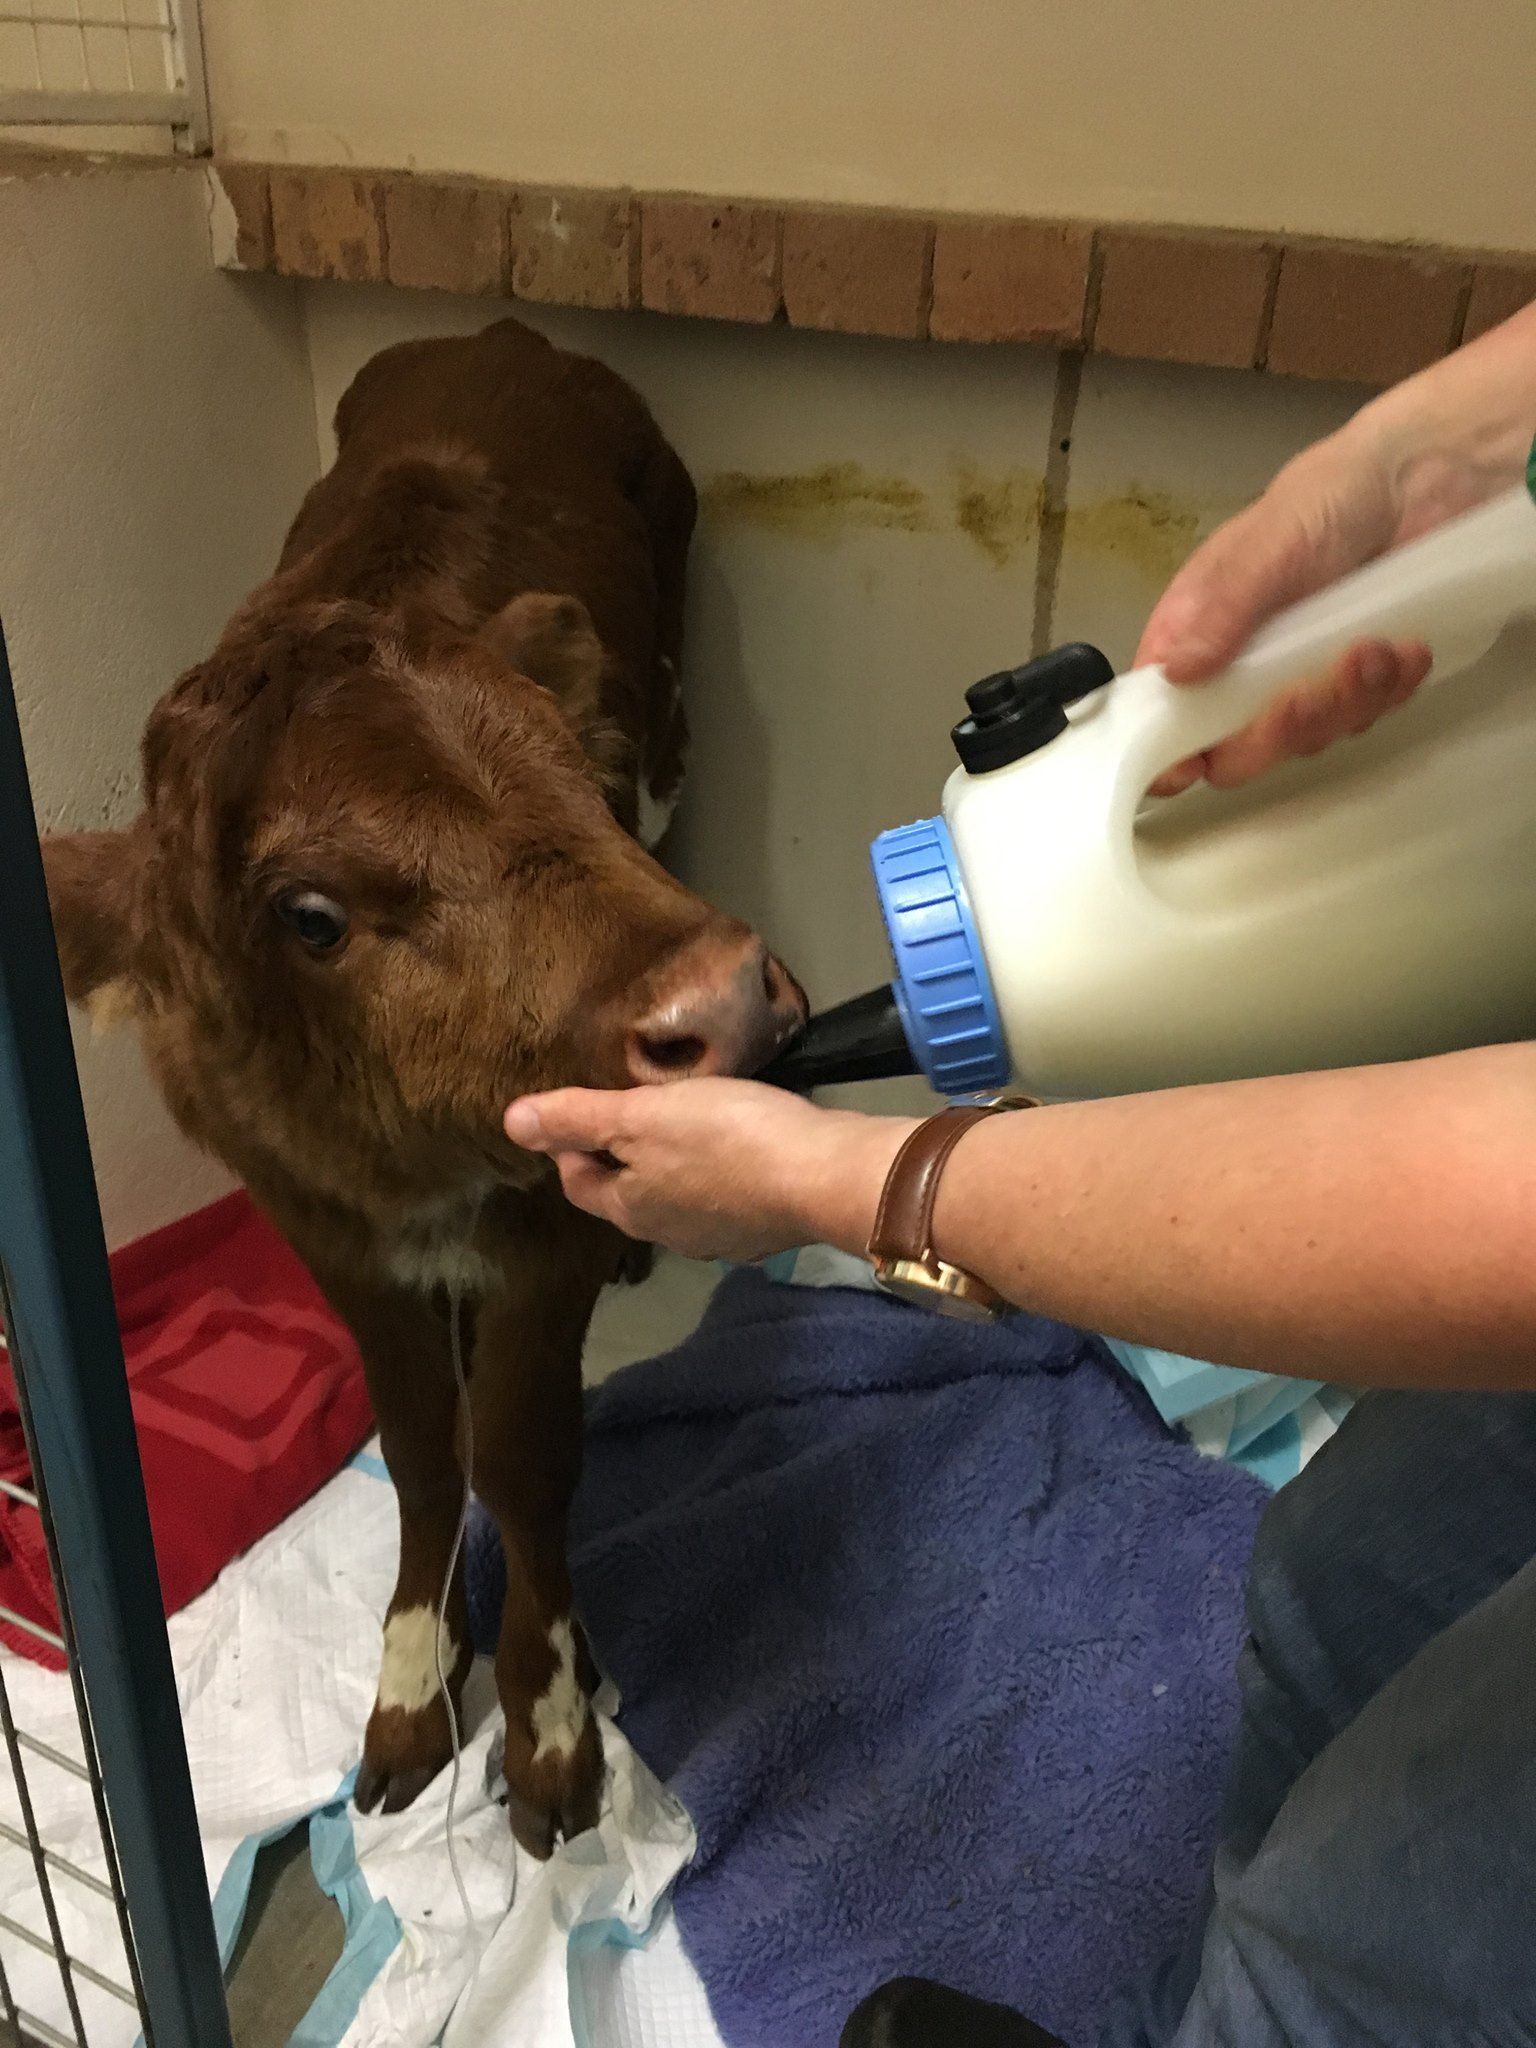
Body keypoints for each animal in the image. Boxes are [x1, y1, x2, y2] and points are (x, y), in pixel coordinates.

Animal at [40, 317, 805, 1856]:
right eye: (309, 913)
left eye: (575, 765)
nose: (725, 996)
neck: (416, 1170)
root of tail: (511, 338)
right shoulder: (318, 1224)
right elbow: (417, 1442)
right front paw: (408, 1677)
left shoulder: (550, 1220)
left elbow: (518, 1449)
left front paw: (548, 1718)